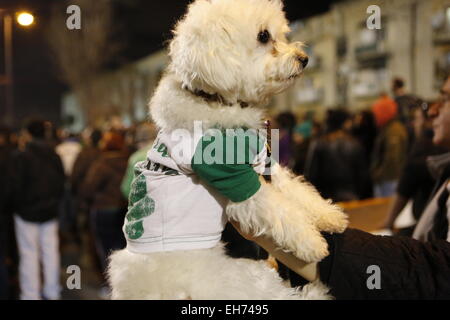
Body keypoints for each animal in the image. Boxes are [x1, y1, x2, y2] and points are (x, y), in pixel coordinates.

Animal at [107, 0, 346, 300]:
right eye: (264, 36)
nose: (304, 58)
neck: (215, 101)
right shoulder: (236, 181)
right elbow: (281, 212)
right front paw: (312, 242)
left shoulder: (264, 163)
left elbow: (298, 192)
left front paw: (330, 216)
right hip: (238, 280)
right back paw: (316, 291)